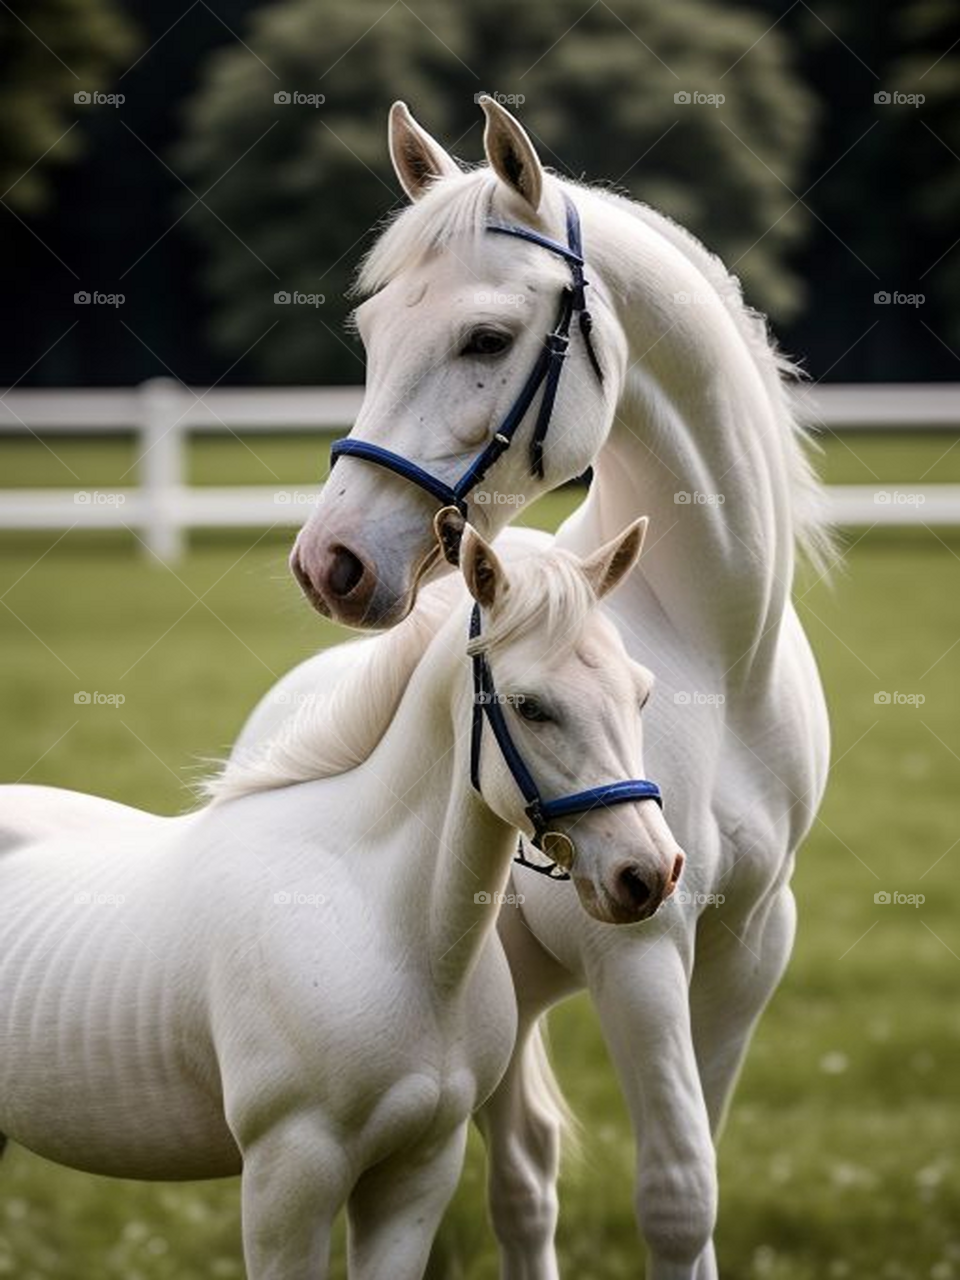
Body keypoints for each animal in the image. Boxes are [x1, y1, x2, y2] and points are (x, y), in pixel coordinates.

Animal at [0, 517, 683, 1280]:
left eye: (642, 693)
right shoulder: (288, 1176)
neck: (392, 932)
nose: (647, 873)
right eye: (531, 706)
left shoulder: (419, 1169)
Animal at [244, 97, 832, 1280]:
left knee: (524, 1183)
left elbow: (699, 1173)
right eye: (374, 336)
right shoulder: (639, 945)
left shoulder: (751, 944)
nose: (331, 562)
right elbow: (674, 1192)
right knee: (520, 1185)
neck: (717, 653)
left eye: (483, 338)